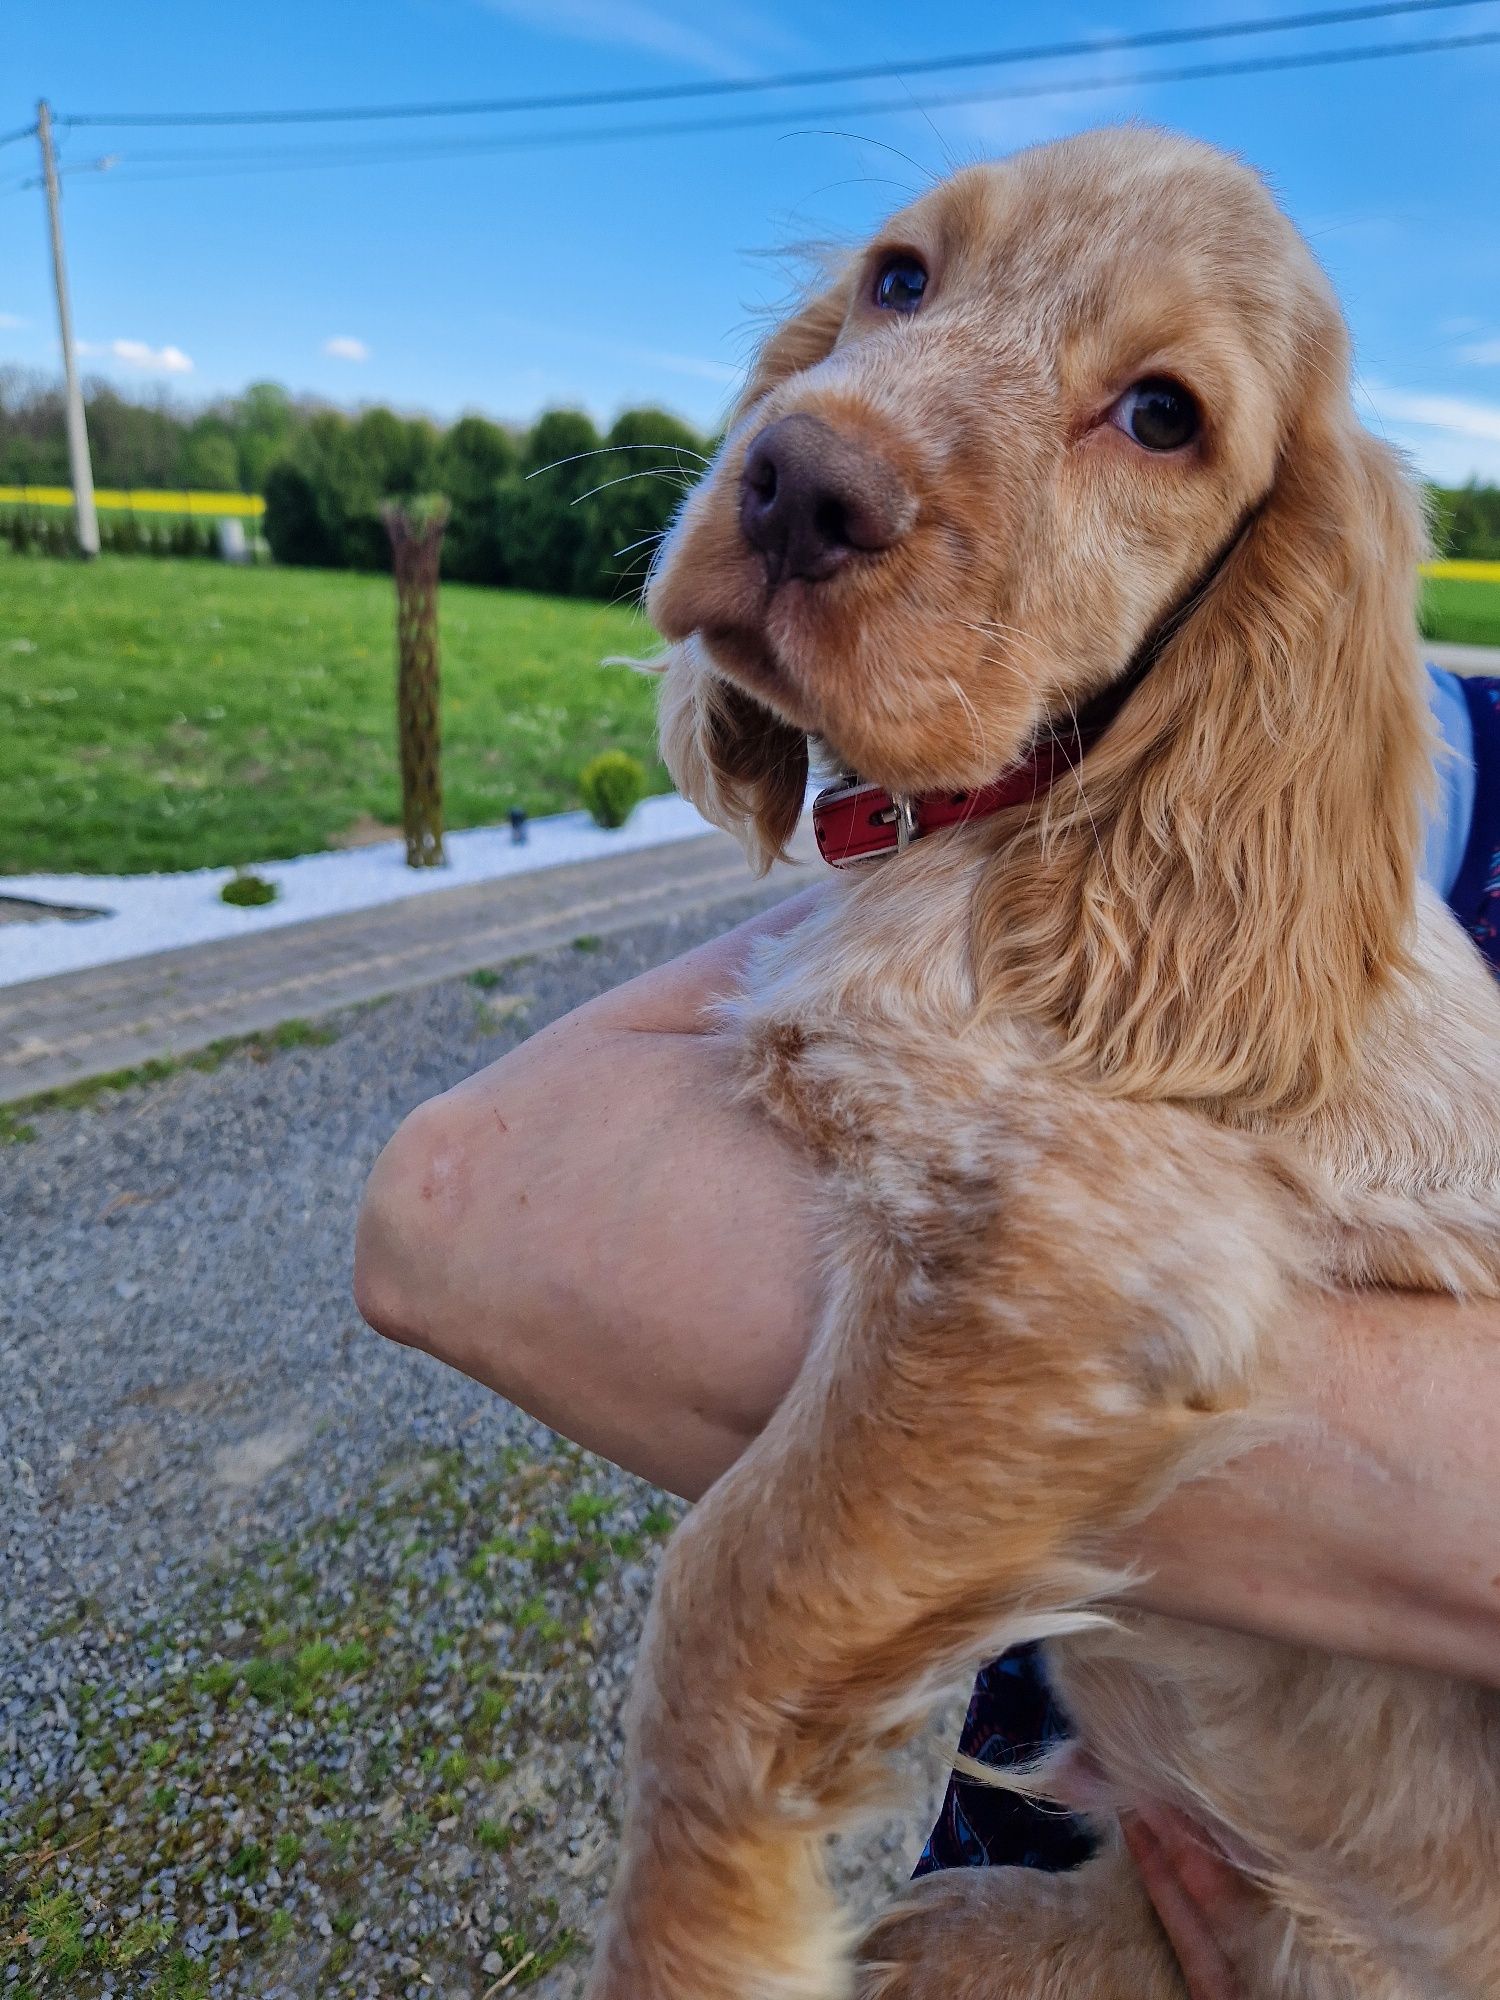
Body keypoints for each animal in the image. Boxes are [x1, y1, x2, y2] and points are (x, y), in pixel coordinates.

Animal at [584, 129, 1500, 2000]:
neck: (1003, 839)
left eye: (1161, 416)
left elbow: (729, 1583)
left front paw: (692, 1942)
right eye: (900, 278)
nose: (795, 485)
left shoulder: (1073, 1253)